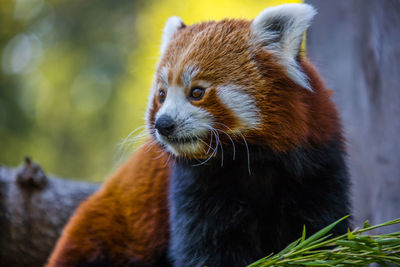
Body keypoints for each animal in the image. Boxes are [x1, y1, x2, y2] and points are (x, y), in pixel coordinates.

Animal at [47, 3, 350, 266]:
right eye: (161, 95)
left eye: (196, 92)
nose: (163, 124)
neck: (252, 161)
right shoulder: (193, 185)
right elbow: (206, 247)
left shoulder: (316, 164)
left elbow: (321, 226)